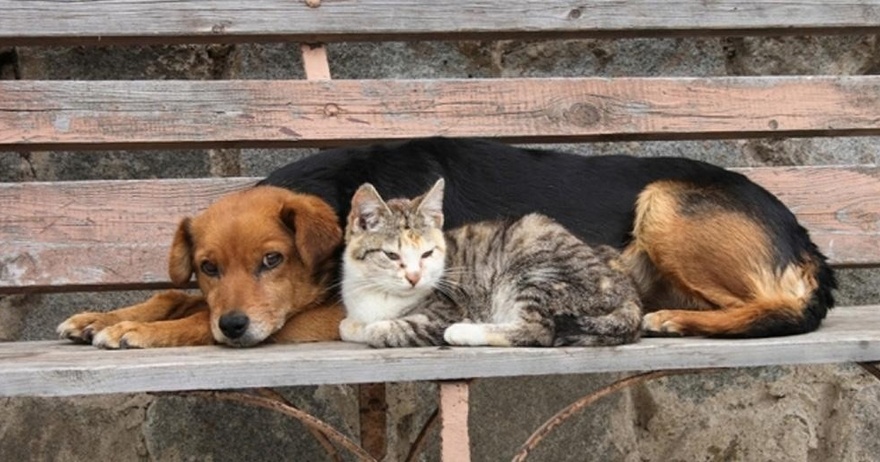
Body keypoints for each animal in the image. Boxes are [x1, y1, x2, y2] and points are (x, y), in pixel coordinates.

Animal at [340, 179, 644, 348]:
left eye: (427, 254)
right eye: (392, 255)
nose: (415, 277)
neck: (377, 294)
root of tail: (629, 295)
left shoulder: (444, 310)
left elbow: (382, 329)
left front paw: (374, 328)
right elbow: (347, 326)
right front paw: (354, 326)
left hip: (537, 271)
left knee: (538, 330)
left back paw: (463, 332)